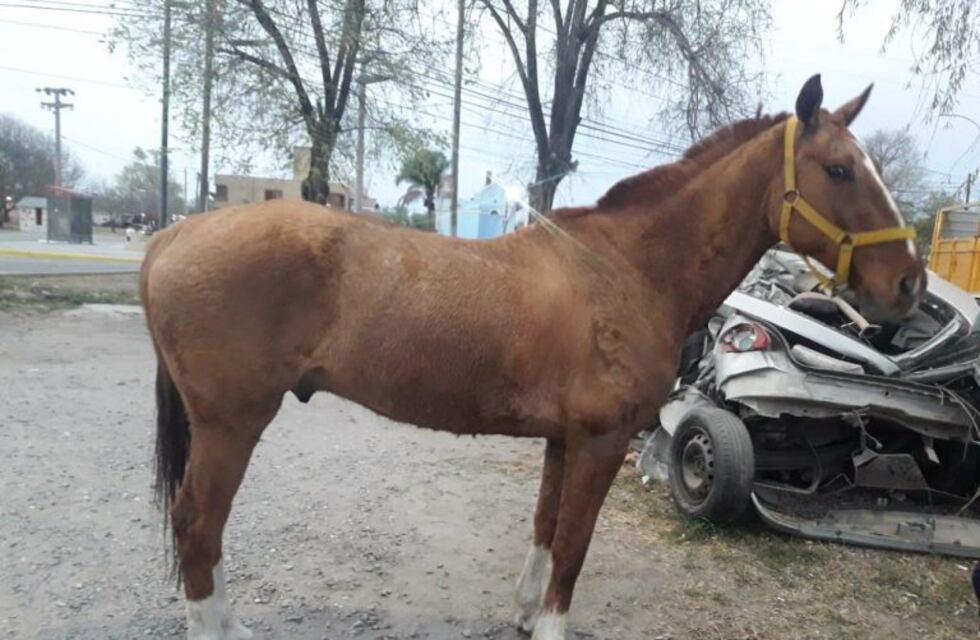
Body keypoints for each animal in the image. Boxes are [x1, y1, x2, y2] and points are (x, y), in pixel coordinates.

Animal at [140, 75, 923, 640]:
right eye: (839, 170)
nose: (909, 284)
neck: (627, 269)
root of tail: (173, 236)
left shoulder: (562, 439)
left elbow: (547, 528)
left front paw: (522, 614)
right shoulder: (601, 442)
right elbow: (574, 545)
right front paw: (548, 625)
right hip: (232, 423)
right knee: (197, 525)